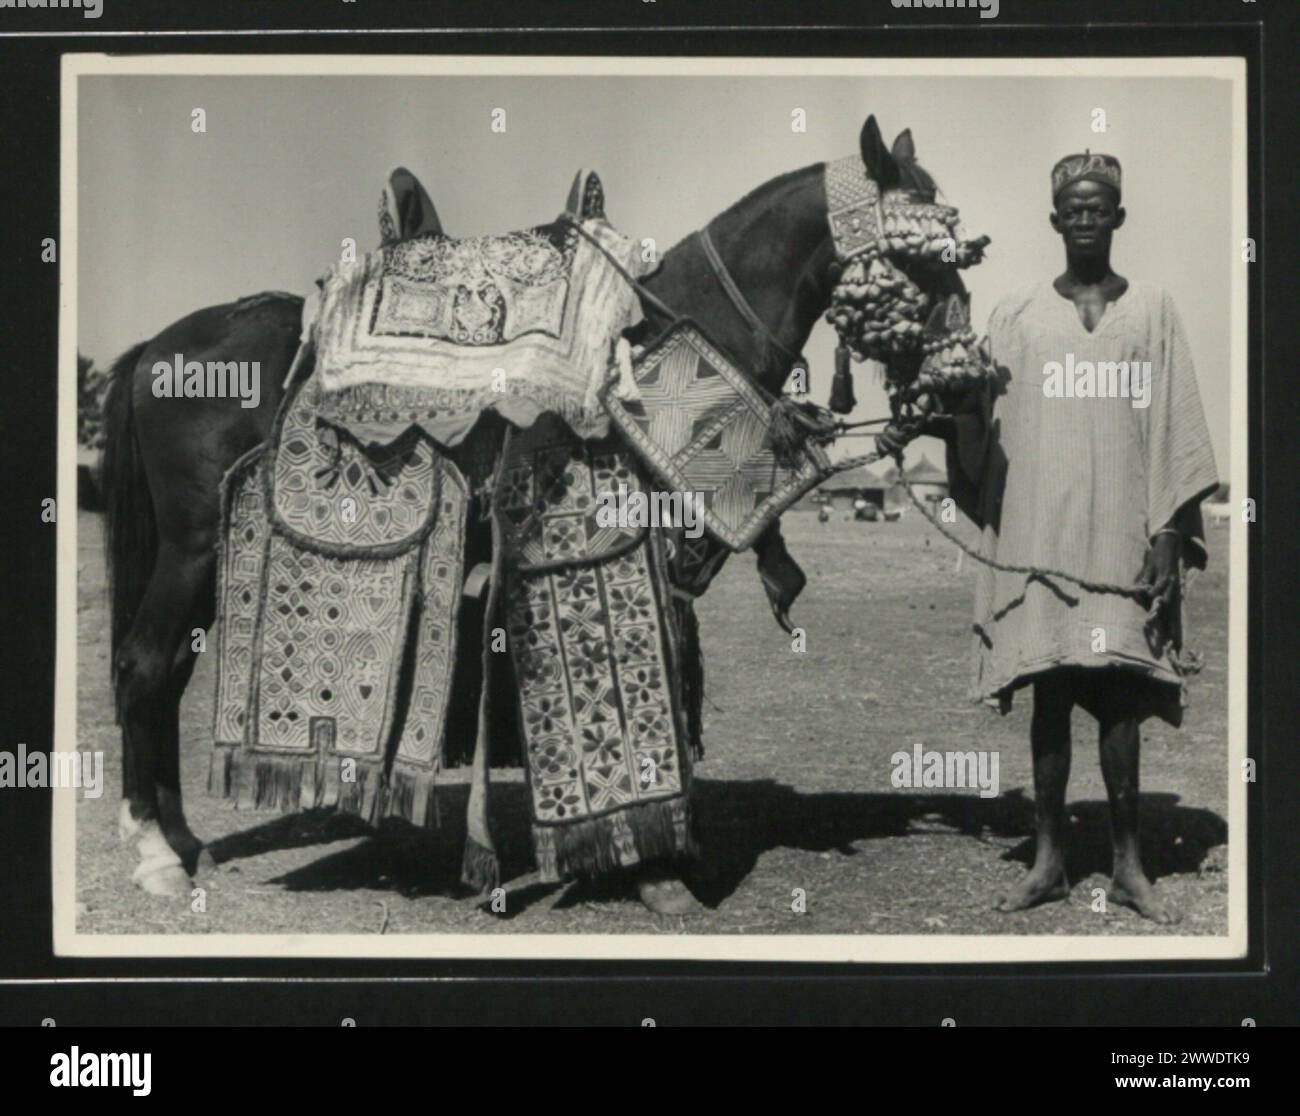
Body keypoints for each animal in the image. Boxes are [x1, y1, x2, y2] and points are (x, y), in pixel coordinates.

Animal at [101, 117, 967, 910]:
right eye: (928, 253)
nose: (959, 383)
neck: (669, 334)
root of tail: (154, 349)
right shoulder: (636, 551)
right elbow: (665, 670)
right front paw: (655, 864)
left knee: (167, 673)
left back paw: (182, 839)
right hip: (190, 550)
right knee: (144, 668)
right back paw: (156, 855)